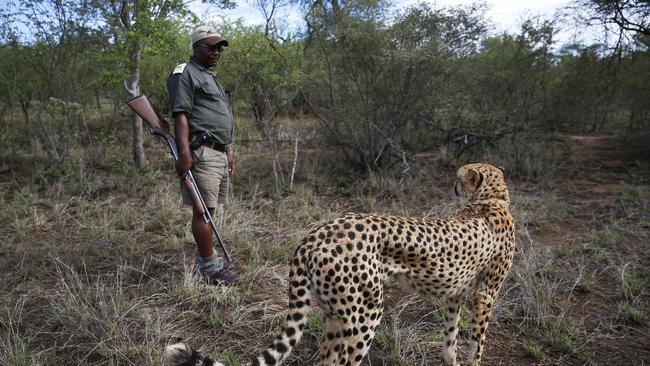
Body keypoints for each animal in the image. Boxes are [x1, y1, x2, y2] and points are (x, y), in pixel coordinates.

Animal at [165, 163, 512, 366]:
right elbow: (477, 343)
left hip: (336, 313)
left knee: (326, 361)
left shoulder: (456, 295)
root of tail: (315, 233)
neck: (491, 199)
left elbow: (451, 337)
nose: (452, 186)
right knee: (346, 360)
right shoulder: (485, 296)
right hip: (366, 313)